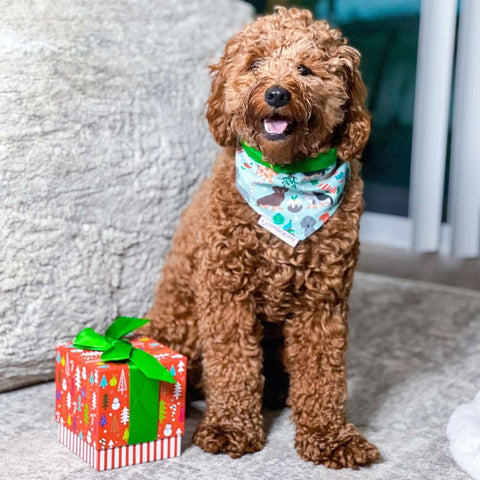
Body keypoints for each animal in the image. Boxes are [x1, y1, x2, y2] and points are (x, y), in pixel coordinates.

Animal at [144, 6, 380, 468]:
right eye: (254, 64)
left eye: (306, 69)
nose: (274, 94)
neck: (288, 185)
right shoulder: (226, 294)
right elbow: (233, 365)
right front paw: (230, 427)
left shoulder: (322, 302)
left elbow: (323, 375)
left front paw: (330, 436)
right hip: (185, 322)